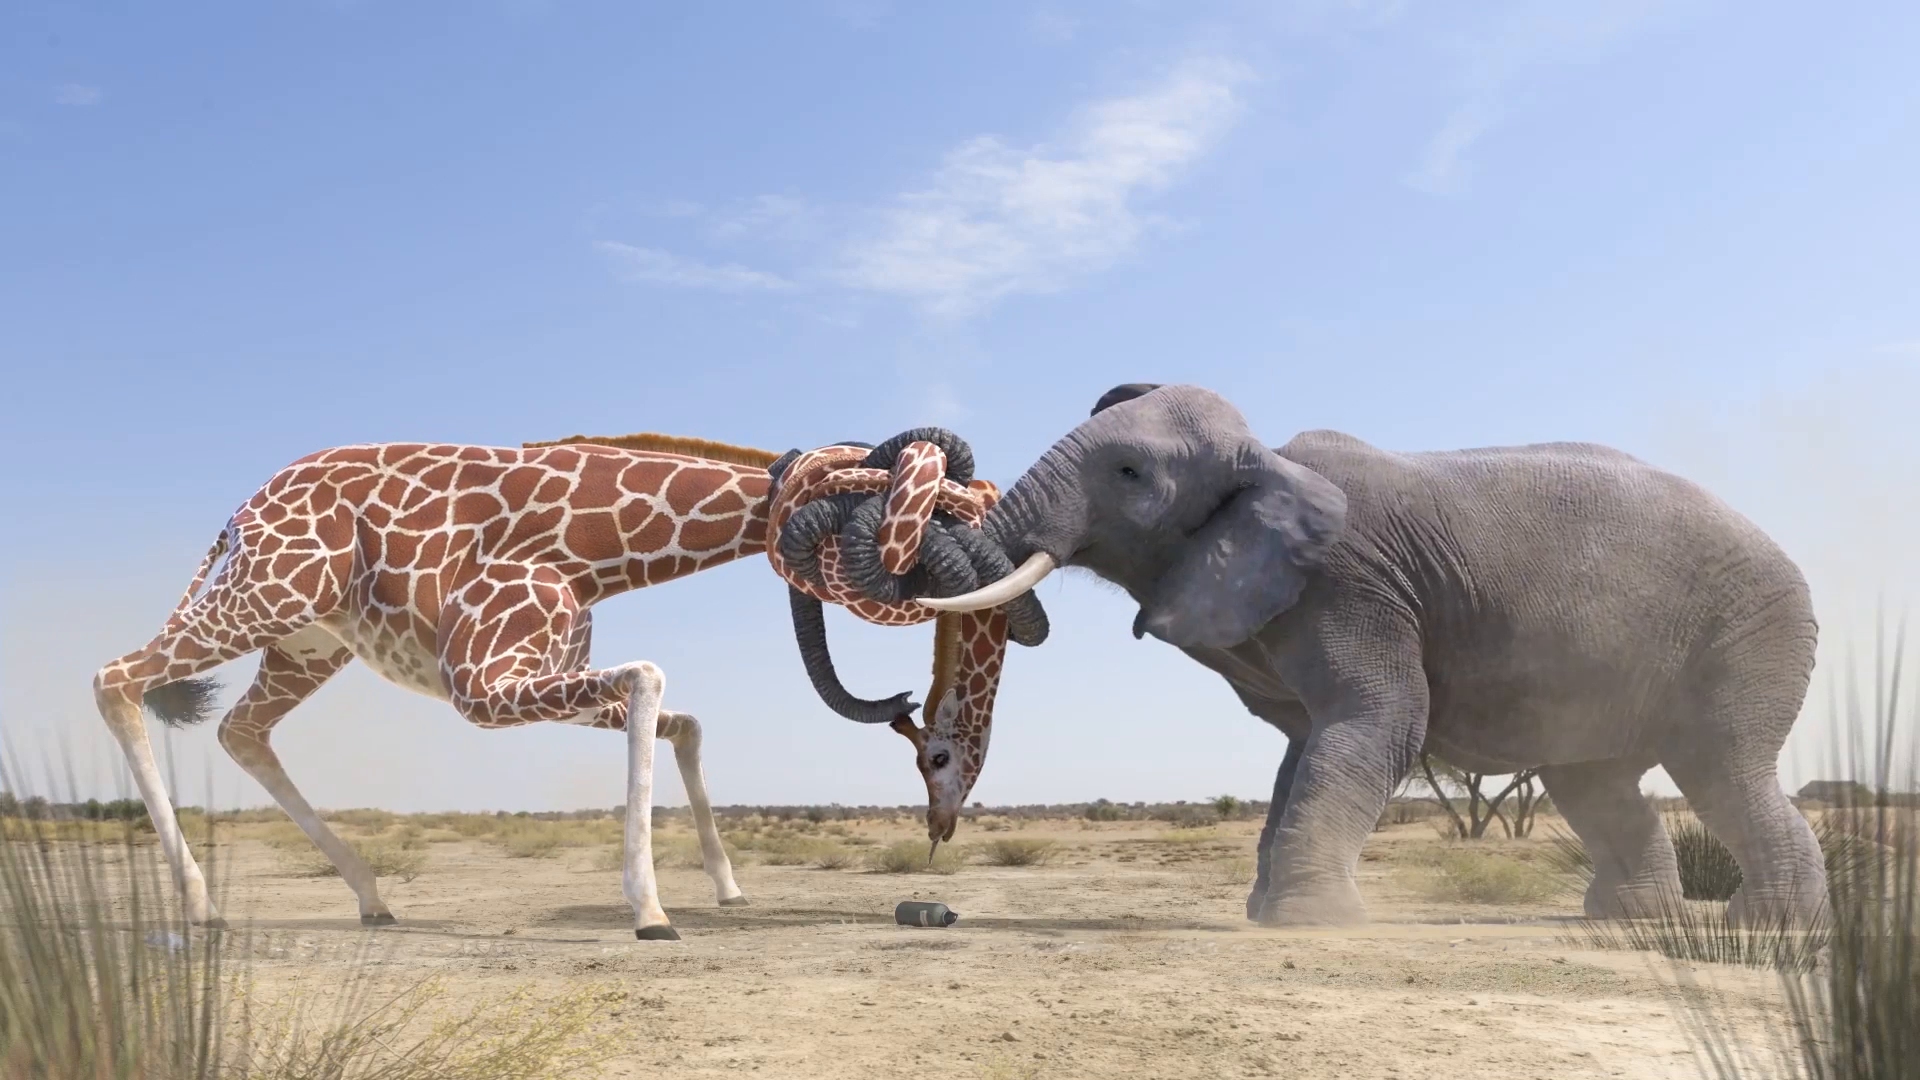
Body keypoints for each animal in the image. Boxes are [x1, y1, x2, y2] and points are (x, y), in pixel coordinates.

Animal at [918, 382, 1829, 929]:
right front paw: (1269, 914)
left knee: (1722, 769)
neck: (1270, 462)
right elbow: (1304, 748)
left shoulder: (1354, 585)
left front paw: (1306, 924)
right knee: (1594, 783)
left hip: (1752, 634)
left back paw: (1766, 929)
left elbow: (1376, 722)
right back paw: (1627, 920)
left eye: (1131, 474)